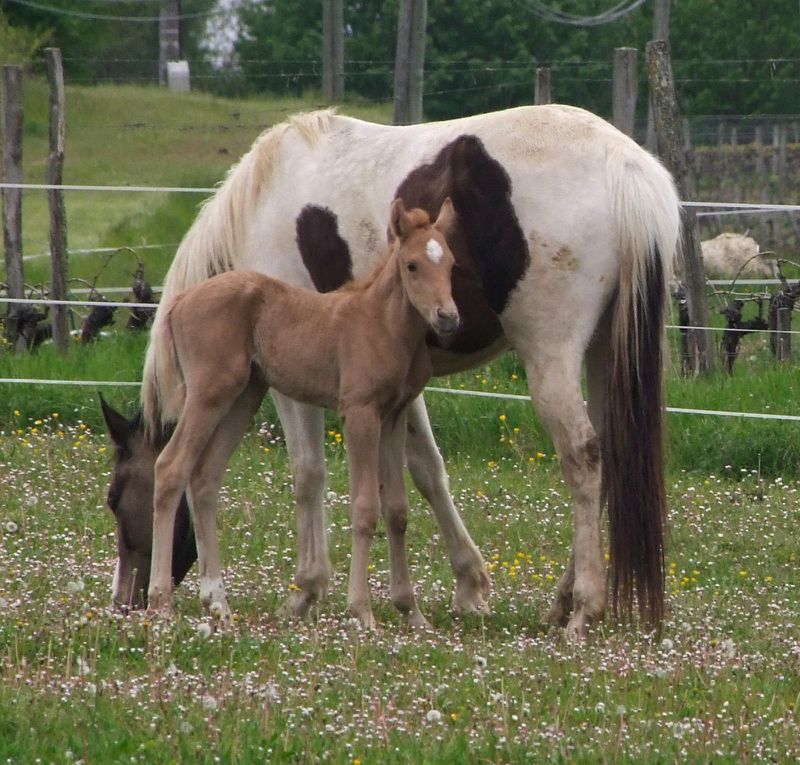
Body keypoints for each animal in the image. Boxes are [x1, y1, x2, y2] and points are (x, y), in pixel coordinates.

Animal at [104, 104, 680, 636]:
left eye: (114, 499)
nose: (124, 602)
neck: (258, 206)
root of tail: (627, 168)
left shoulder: (296, 385)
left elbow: (309, 474)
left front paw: (308, 591)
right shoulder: (395, 387)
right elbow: (426, 473)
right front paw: (468, 584)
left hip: (551, 356)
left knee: (582, 457)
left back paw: (583, 608)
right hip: (604, 352)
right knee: (607, 455)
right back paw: (562, 601)